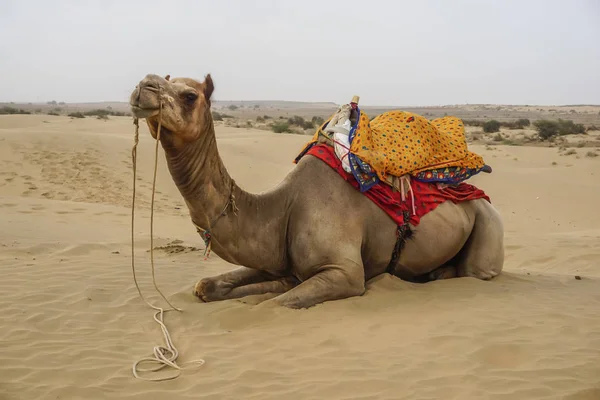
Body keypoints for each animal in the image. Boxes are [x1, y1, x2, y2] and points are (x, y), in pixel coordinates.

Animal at [129, 72, 504, 310]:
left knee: (475, 271)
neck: (281, 207)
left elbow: (271, 304)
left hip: (488, 227)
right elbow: (206, 286)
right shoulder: (274, 259)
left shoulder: (345, 273)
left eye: (189, 95)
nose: (143, 86)